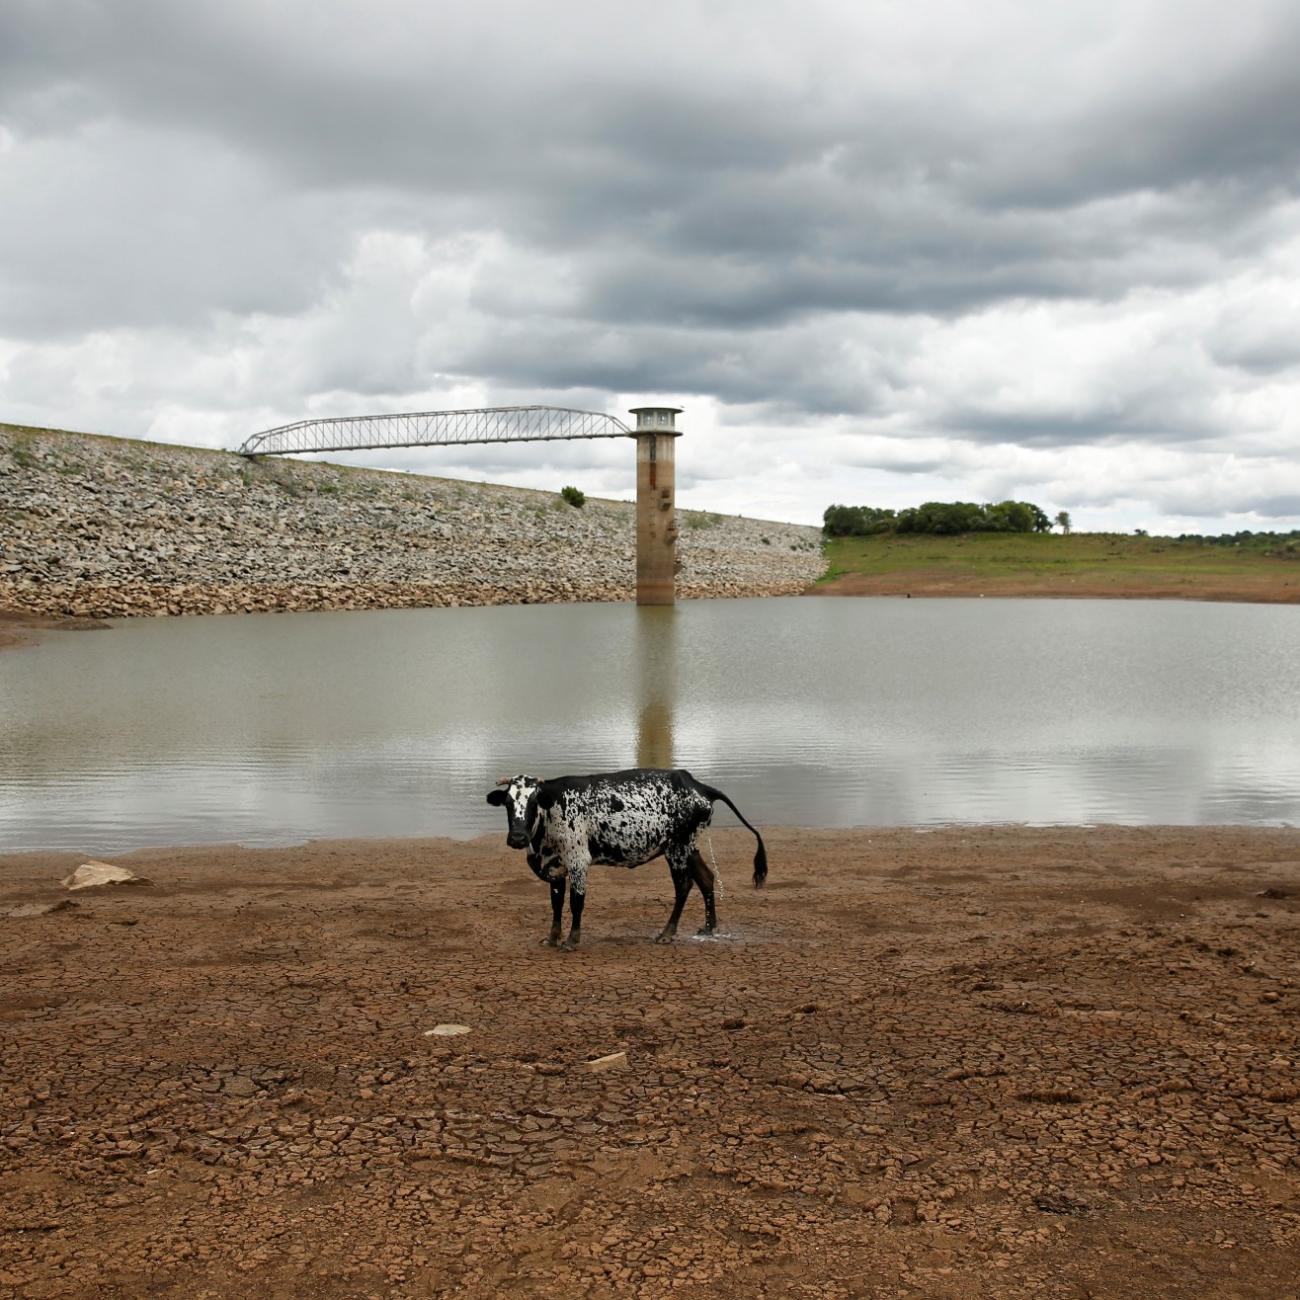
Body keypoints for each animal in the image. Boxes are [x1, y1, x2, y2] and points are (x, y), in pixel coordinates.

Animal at [488, 764, 769, 951]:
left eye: (534, 801)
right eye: (508, 803)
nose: (517, 838)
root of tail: (697, 785)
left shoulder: (578, 861)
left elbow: (576, 902)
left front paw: (571, 940)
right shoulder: (555, 867)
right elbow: (556, 904)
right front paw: (552, 938)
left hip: (677, 849)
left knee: (684, 886)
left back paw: (667, 933)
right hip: (689, 848)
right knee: (706, 879)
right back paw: (709, 927)